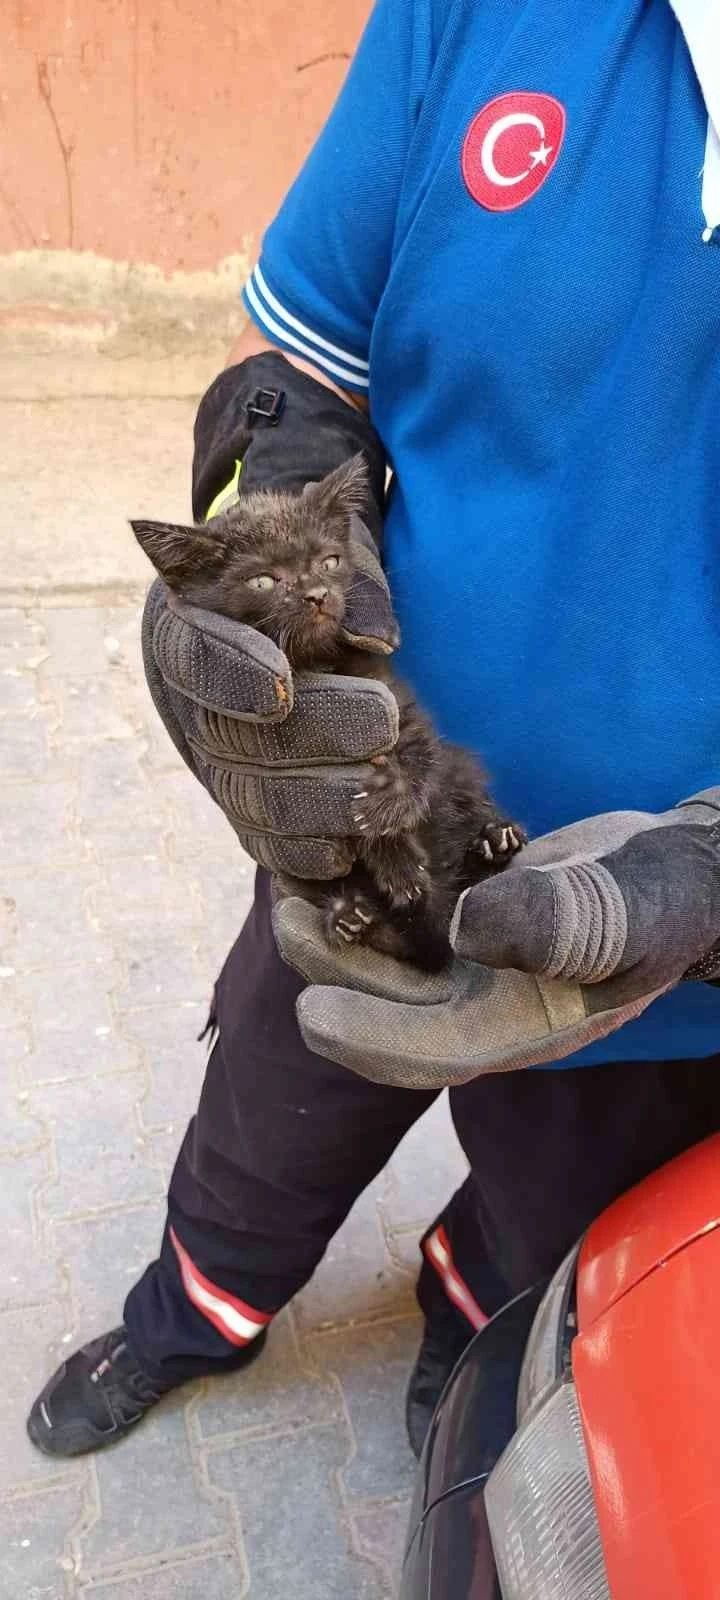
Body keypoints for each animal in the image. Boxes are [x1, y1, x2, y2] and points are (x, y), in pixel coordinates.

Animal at [130, 457, 521, 966]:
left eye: (329, 562)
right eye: (263, 580)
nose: (317, 593)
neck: (317, 661)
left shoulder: (397, 706)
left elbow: (422, 758)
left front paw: (391, 803)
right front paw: (396, 864)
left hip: (463, 777)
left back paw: (493, 841)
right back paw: (351, 913)